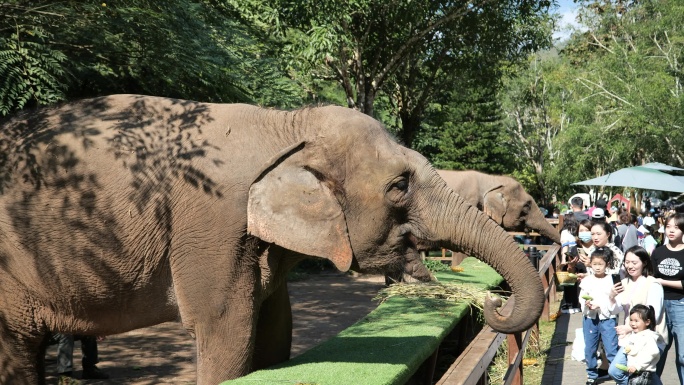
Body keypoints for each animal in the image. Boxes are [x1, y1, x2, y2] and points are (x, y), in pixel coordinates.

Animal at [0, 94, 544, 384]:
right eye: (399, 186)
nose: (491, 304)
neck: (284, 123)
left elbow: (274, 335)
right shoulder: (213, 225)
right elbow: (227, 333)